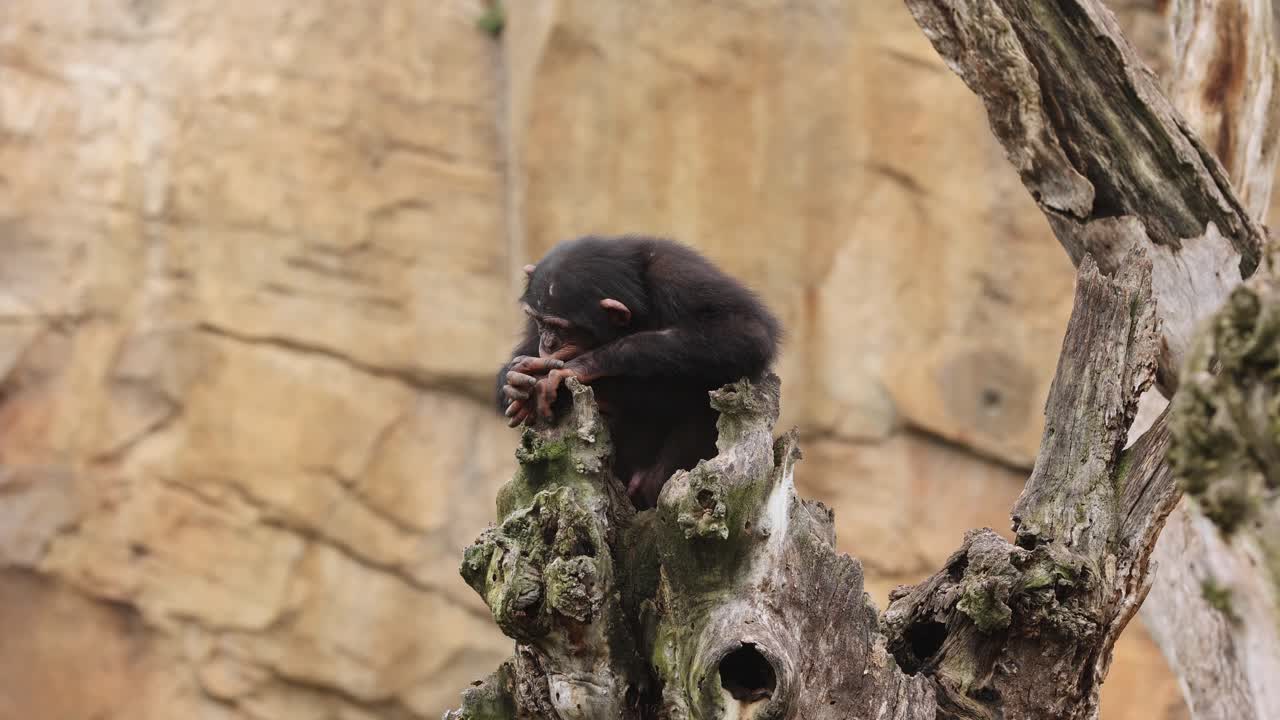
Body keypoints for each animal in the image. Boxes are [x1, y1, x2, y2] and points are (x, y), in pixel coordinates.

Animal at [495, 235, 781, 510]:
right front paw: (518, 382)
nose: (548, 343)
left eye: (561, 328)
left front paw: (579, 367)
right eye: (539, 321)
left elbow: (745, 330)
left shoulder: (678, 273)